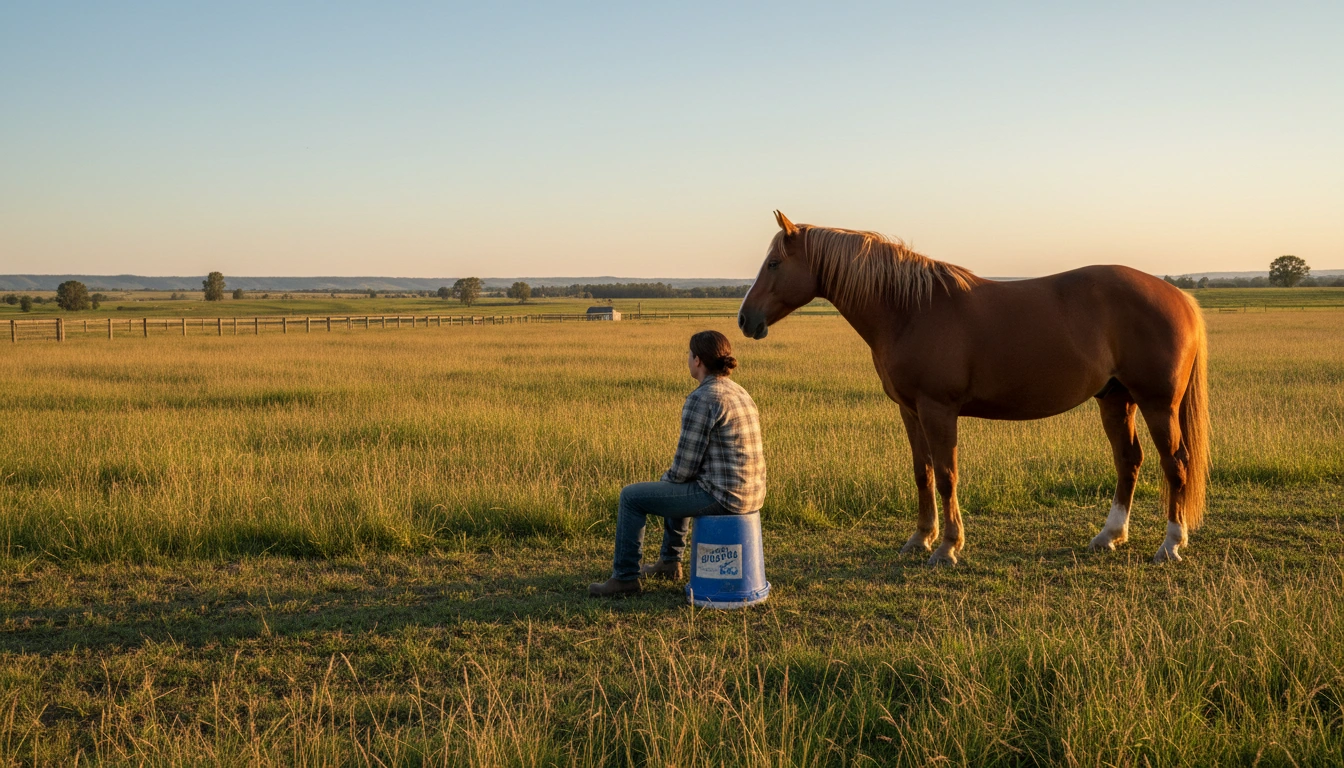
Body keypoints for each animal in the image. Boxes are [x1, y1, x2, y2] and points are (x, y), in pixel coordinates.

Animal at [738, 211, 1209, 565]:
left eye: (774, 263)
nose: (745, 319)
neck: (910, 309)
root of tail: (1179, 297)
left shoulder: (938, 409)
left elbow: (947, 475)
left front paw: (947, 547)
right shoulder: (911, 411)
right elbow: (923, 473)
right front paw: (920, 539)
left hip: (1157, 405)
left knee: (1175, 464)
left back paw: (1170, 544)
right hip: (1116, 399)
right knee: (1129, 461)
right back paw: (1109, 535)